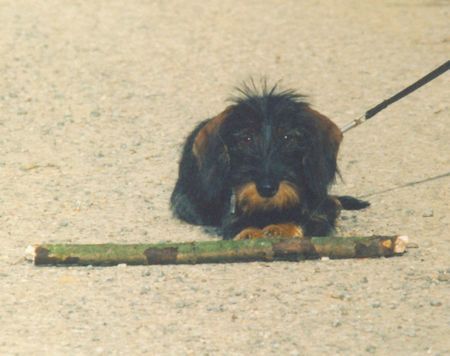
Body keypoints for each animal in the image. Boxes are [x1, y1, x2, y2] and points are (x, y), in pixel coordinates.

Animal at [171, 83, 368, 239]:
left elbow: (310, 220)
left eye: (288, 137)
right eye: (246, 138)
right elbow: (236, 224)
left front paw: (281, 228)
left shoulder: (317, 217)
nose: (266, 188)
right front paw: (249, 232)